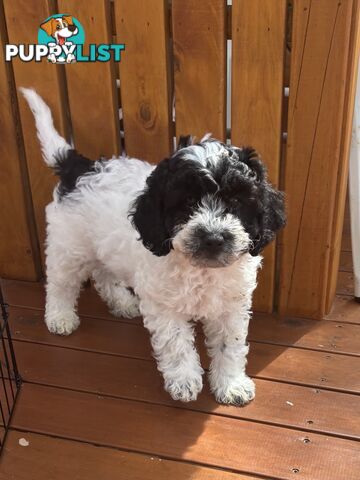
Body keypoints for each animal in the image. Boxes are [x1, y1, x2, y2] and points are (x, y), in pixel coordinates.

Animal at [21, 87, 286, 404]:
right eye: (187, 203)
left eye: (235, 201)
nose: (212, 237)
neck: (201, 269)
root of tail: (80, 168)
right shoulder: (164, 305)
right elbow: (176, 343)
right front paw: (184, 381)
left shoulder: (230, 306)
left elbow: (229, 345)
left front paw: (231, 384)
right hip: (69, 246)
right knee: (61, 283)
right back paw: (60, 317)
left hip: (104, 246)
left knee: (103, 274)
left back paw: (122, 303)